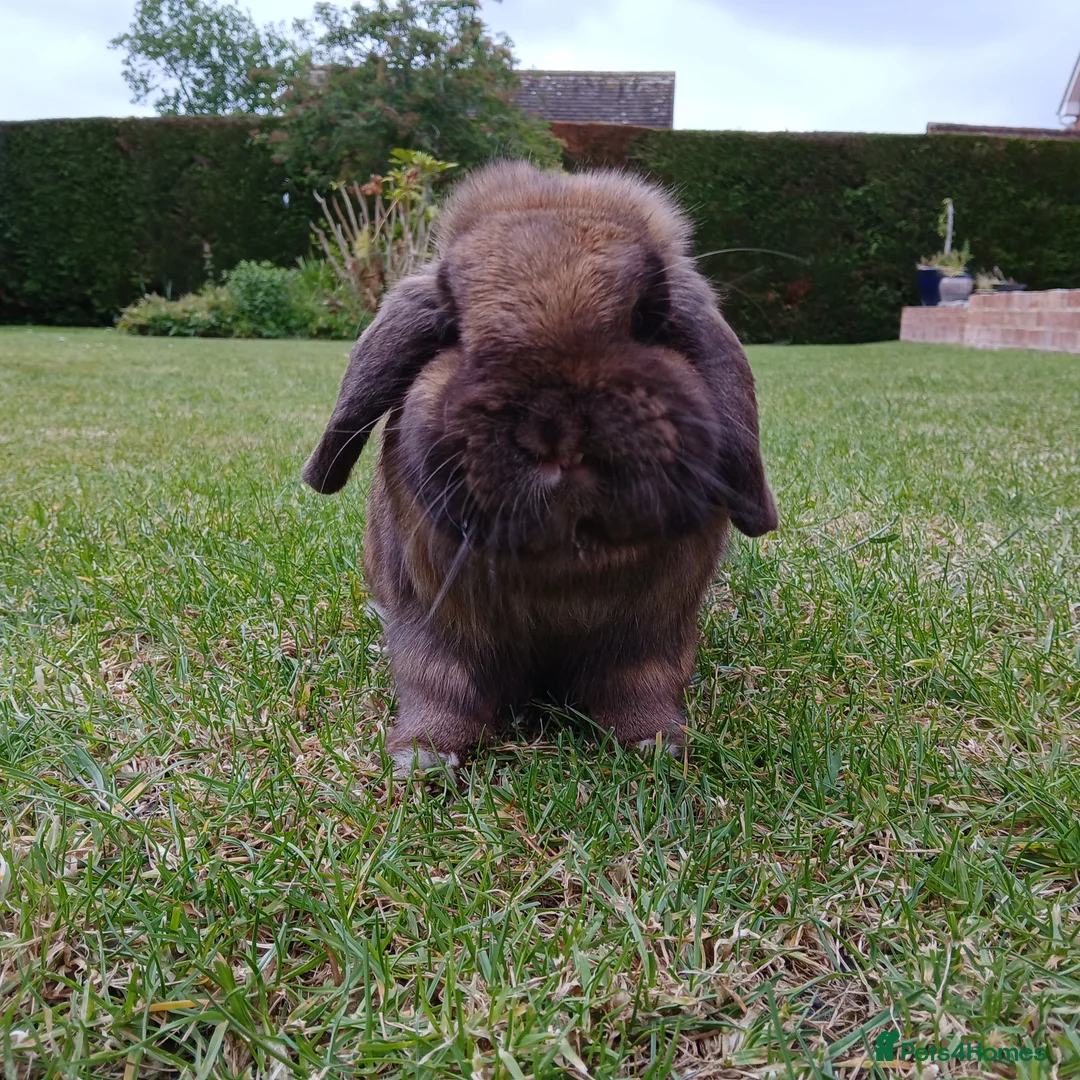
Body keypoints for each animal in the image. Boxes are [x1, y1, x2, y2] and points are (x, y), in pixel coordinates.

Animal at [302, 161, 777, 771]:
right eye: (454, 331)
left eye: (646, 320)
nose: (557, 430)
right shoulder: (433, 626)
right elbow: (439, 687)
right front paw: (421, 759)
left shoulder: (651, 635)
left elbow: (641, 687)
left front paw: (656, 747)